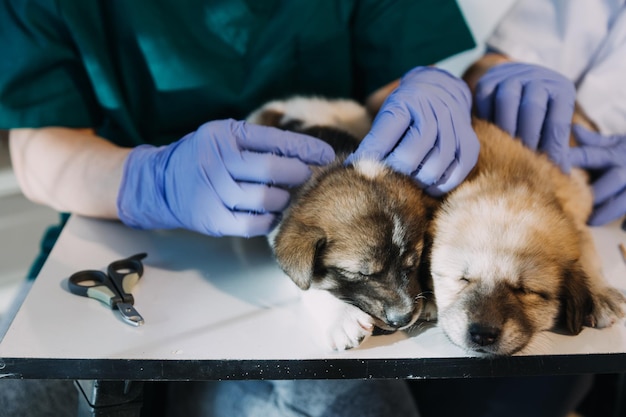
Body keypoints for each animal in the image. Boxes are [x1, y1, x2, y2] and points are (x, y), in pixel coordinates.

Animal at [246, 97, 436, 352]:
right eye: (359, 273)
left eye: (413, 263)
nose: (403, 319)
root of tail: (283, 108)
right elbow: (308, 282)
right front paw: (342, 317)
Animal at [428, 117, 624, 354]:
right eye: (463, 279)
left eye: (524, 290)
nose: (483, 335)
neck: (509, 176)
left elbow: (585, 246)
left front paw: (600, 294)